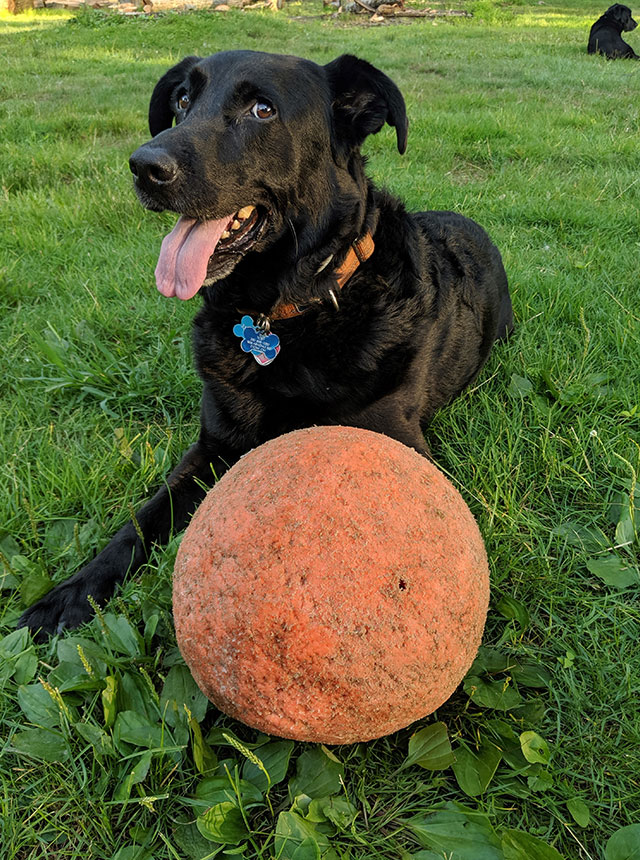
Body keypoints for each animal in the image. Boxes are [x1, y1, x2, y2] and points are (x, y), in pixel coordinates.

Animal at [17, 48, 512, 640]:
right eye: (183, 99)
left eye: (262, 110)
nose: (144, 166)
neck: (285, 312)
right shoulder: (211, 447)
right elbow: (140, 522)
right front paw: (70, 593)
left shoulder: (400, 446)